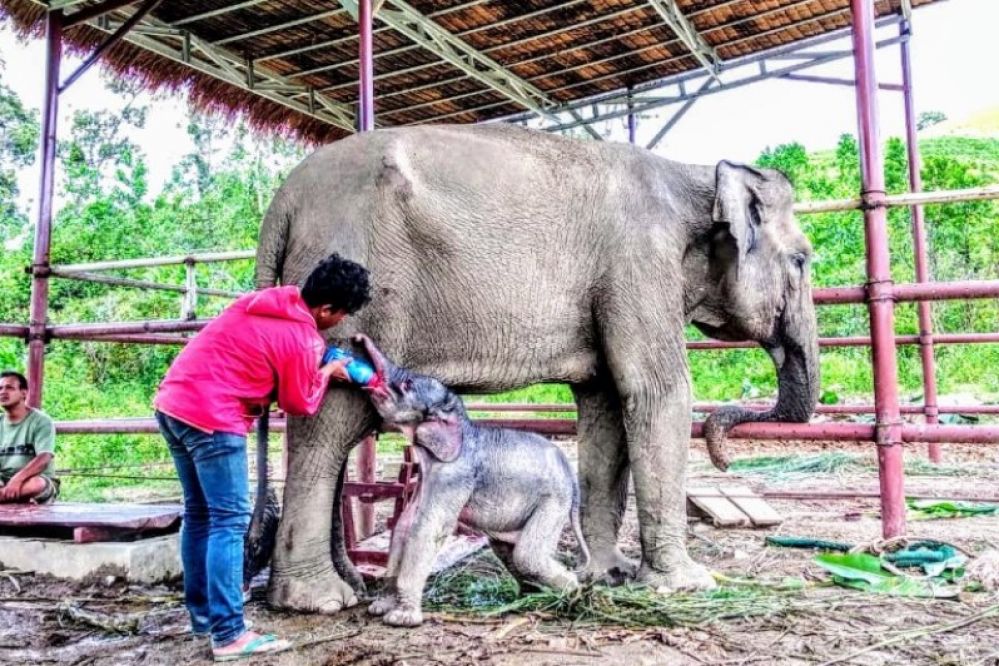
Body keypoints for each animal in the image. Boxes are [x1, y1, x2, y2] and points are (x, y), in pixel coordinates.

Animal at [354, 334, 588, 624]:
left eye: (407, 384)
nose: (358, 339)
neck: (460, 423)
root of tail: (572, 477)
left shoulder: (454, 475)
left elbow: (427, 528)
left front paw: (400, 619)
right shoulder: (428, 476)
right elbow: (404, 525)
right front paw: (380, 607)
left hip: (553, 501)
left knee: (527, 556)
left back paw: (573, 598)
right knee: (508, 551)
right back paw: (529, 598)